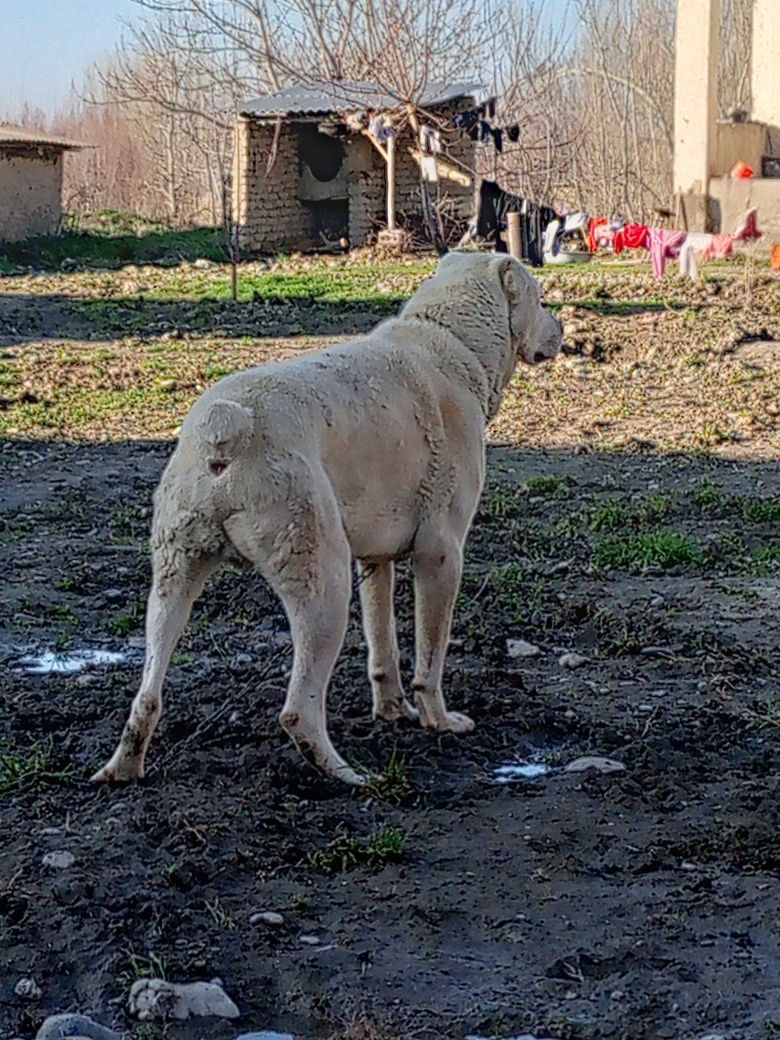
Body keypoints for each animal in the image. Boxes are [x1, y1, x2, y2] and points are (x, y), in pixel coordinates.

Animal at [93, 253, 561, 786]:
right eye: (540, 298)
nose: (562, 330)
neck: (449, 336)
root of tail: (226, 427)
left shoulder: (376, 562)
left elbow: (382, 646)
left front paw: (393, 712)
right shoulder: (441, 556)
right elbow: (430, 655)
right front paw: (438, 720)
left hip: (173, 581)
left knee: (146, 695)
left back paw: (122, 769)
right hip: (323, 585)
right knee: (298, 709)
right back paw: (348, 775)